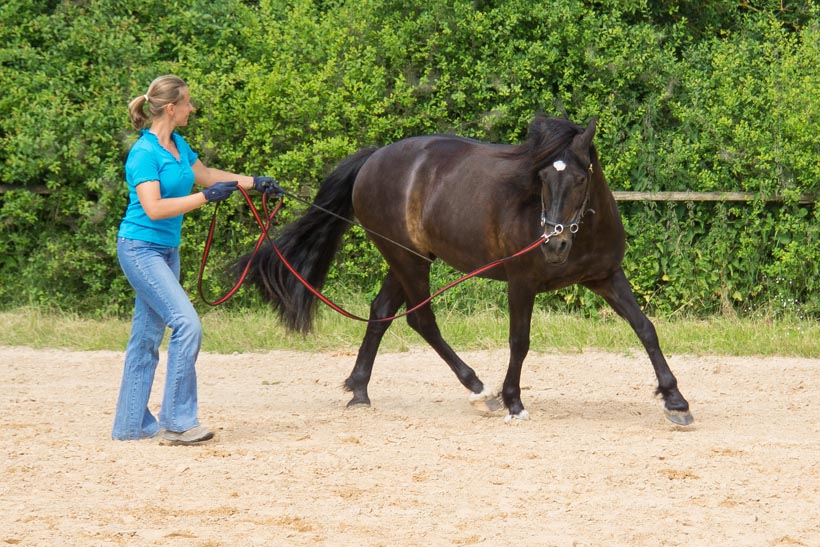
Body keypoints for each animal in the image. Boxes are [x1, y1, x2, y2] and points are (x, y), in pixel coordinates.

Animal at [242, 113, 692, 426]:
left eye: (582, 178)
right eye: (542, 177)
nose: (554, 244)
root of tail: (374, 158)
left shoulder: (606, 277)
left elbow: (645, 328)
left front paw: (676, 401)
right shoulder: (521, 283)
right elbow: (519, 341)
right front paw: (513, 402)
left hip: (408, 258)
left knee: (381, 312)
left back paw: (359, 391)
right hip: (408, 259)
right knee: (421, 320)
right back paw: (480, 390)